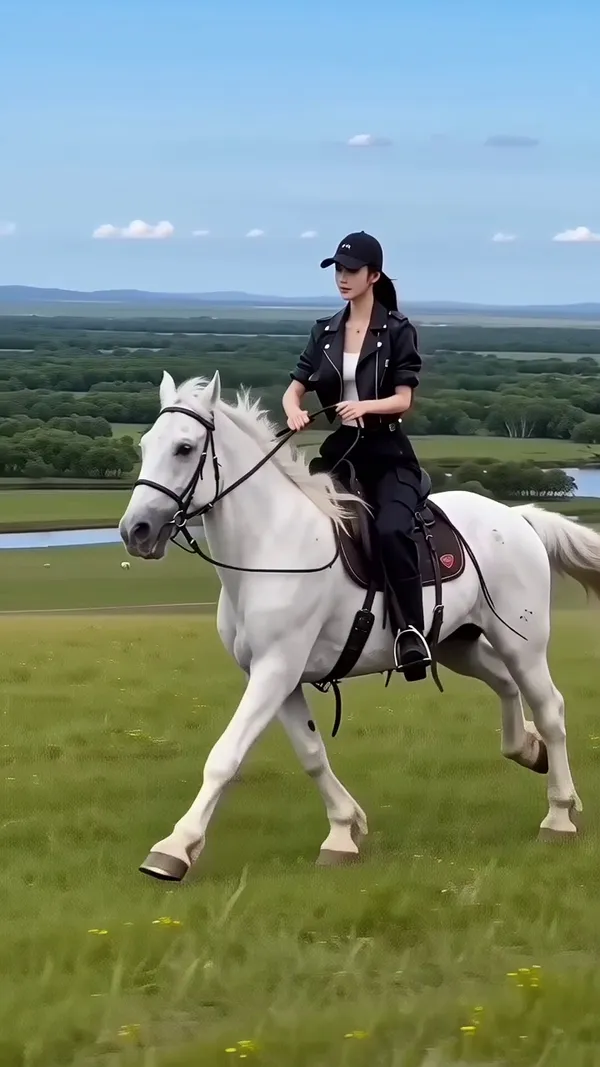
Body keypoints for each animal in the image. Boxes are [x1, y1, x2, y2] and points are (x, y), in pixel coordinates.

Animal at [119, 371, 600, 882]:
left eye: (185, 448)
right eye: (145, 444)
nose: (136, 531)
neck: (269, 548)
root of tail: (516, 516)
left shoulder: (275, 671)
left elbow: (225, 756)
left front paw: (174, 848)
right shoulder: (279, 678)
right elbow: (312, 755)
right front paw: (343, 832)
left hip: (522, 643)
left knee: (550, 708)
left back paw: (559, 814)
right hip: (456, 644)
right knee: (506, 685)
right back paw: (527, 749)